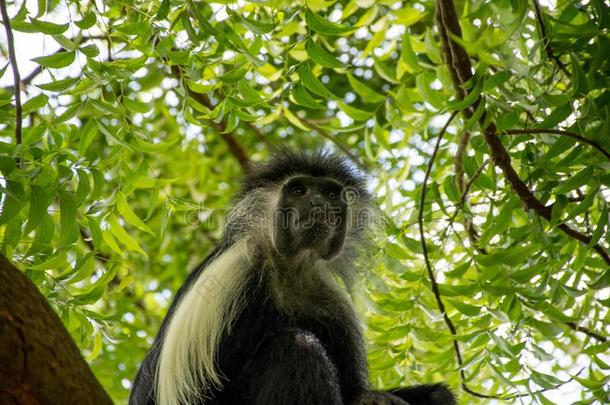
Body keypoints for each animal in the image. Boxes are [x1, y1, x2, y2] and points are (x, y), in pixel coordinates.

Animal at [129, 150, 452, 402]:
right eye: (299, 191)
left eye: (330, 193)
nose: (318, 204)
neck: (289, 266)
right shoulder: (234, 272)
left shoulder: (330, 300)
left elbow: (354, 390)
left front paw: (373, 398)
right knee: (296, 347)